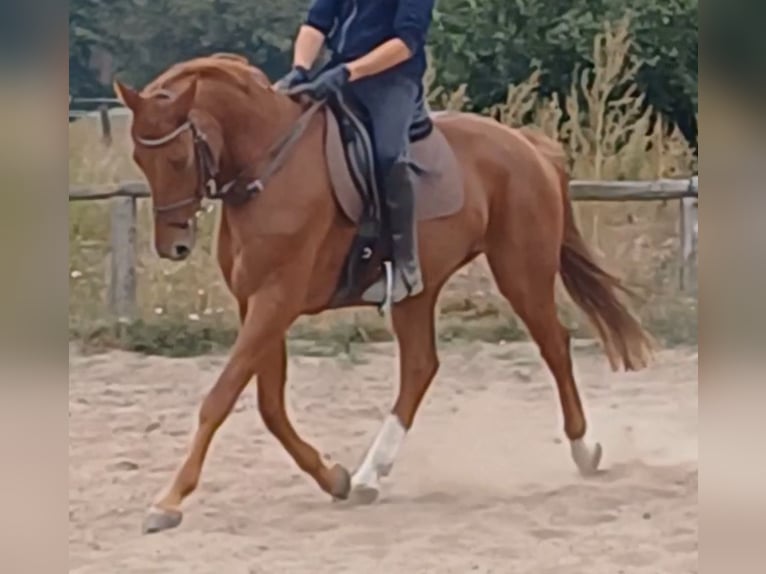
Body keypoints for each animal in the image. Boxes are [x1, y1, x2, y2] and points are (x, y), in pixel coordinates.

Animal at [112, 53, 652, 534]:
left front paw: (168, 501)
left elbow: (220, 398)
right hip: (419, 289)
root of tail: (525, 144)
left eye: (177, 158)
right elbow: (269, 405)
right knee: (420, 366)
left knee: (554, 346)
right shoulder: (258, 303)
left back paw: (584, 450)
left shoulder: (276, 300)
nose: (174, 246)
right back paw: (369, 476)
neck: (270, 167)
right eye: (140, 158)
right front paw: (333, 478)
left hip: (521, 270)